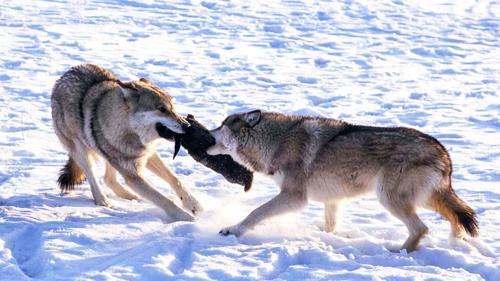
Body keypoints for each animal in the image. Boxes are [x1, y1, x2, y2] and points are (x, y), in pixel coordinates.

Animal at [49, 63, 200, 221]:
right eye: (161, 109)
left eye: (172, 107)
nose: (187, 126)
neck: (128, 131)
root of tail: (62, 77)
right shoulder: (132, 175)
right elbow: (164, 199)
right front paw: (187, 218)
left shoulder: (147, 154)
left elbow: (175, 179)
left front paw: (193, 204)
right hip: (81, 150)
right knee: (94, 179)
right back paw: (104, 201)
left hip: (106, 155)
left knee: (108, 179)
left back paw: (131, 196)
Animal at [206, 109, 476, 252]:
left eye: (221, 125)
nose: (205, 132)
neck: (275, 142)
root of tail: (443, 152)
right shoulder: (332, 199)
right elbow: (330, 225)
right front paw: (328, 236)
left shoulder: (294, 197)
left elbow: (256, 212)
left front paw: (233, 229)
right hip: (423, 198)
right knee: (458, 214)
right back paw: (457, 242)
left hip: (390, 199)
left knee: (422, 228)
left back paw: (399, 252)